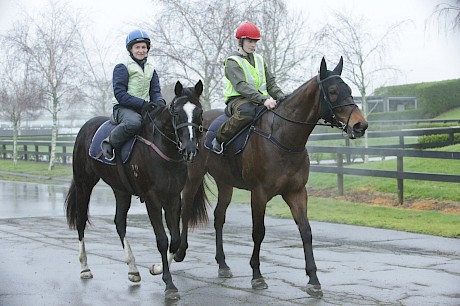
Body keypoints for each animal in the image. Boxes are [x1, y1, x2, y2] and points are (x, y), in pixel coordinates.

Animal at [64, 80, 203, 300]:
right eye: (176, 112)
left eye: (199, 112)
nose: (189, 149)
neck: (164, 151)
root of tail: (86, 126)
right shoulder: (152, 199)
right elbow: (162, 240)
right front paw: (169, 284)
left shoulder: (173, 198)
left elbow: (175, 239)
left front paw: (157, 268)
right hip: (83, 184)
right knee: (80, 220)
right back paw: (85, 267)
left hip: (121, 190)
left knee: (119, 223)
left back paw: (133, 269)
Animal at [174, 56, 368, 296]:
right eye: (332, 91)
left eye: (348, 90)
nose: (360, 125)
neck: (282, 136)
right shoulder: (259, 194)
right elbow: (259, 232)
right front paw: (257, 276)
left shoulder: (296, 192)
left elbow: (306, 231)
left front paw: (313, 279)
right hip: (193, 177)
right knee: (185, 210)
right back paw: (179, 253)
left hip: (225, 183)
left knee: (219, 217)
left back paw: (223, 264)